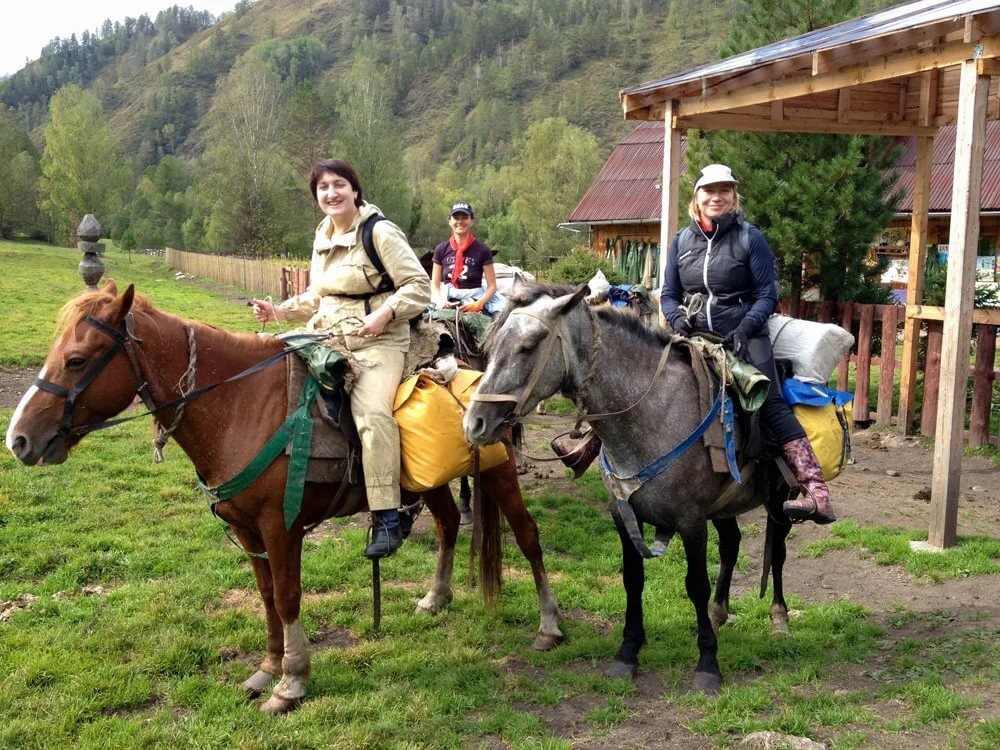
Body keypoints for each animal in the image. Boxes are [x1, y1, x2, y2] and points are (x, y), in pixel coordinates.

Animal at [5, 280, 564, 712]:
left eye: (76, 360)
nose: (19, 439)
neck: (241, 404)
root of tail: (481, 381)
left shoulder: (282, 527)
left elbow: (290, 596)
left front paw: (291, 683)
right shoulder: (247, 529)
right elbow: (267, 595)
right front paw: (266, 669)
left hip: (499, 476)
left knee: (529, 537)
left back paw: (550, 625)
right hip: (426, 484)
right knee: (448, 524)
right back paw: (435, 597)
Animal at [464, 284, 792, 696]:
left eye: (528, 346)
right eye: (491, 347)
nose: (473, 423)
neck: (652, 413)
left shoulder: (691, 521)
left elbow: (696, 584)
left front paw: (707, 664)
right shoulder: (624, 515)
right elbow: (632, 580)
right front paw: (628, 653)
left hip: (778, 501)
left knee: (776, 551)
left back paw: (778, 617)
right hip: (724, 505)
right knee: (732, 545)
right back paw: (719, 615)